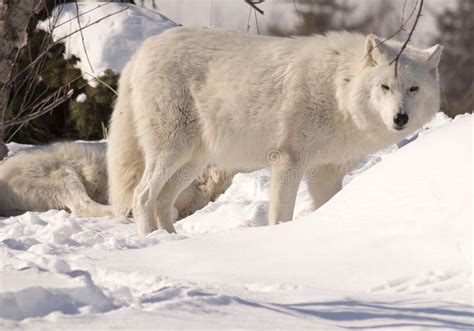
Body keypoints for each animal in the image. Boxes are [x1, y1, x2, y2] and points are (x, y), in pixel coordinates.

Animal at [106, 28, 440, 236]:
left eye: (413, 89)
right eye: (385, 87)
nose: (400, 118)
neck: (338, 90)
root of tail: (140, 52)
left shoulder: (327, 173)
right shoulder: (288, 162)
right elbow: (281, 215)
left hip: (192, 162)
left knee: (163, 202)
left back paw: (169, 239)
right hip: (172, 153)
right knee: (142, 196)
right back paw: (150, 238)